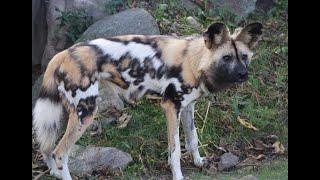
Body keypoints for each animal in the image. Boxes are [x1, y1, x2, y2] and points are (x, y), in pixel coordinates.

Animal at [32, 21, 262, 179]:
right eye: (227, 58)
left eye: (244, 56)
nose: (243, 74)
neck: (193, 59)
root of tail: (62, 54)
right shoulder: (170, 107)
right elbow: (175, 150)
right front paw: (178, 175)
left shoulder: (187, 108)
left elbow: (193, 139)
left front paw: (198, 162)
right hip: (85, 113)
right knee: (60, 152)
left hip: (65, 113)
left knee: (46, 147)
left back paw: (53, 172)